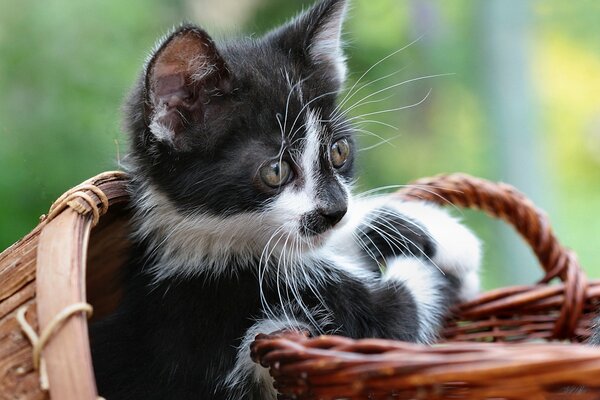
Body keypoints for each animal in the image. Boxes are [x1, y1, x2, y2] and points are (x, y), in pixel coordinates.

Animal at [90, 0, 482, 400]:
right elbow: (405, 310)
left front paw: (438, 231)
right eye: (275, 171)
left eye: (339, 151)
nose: (335, 209)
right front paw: (453, 261)